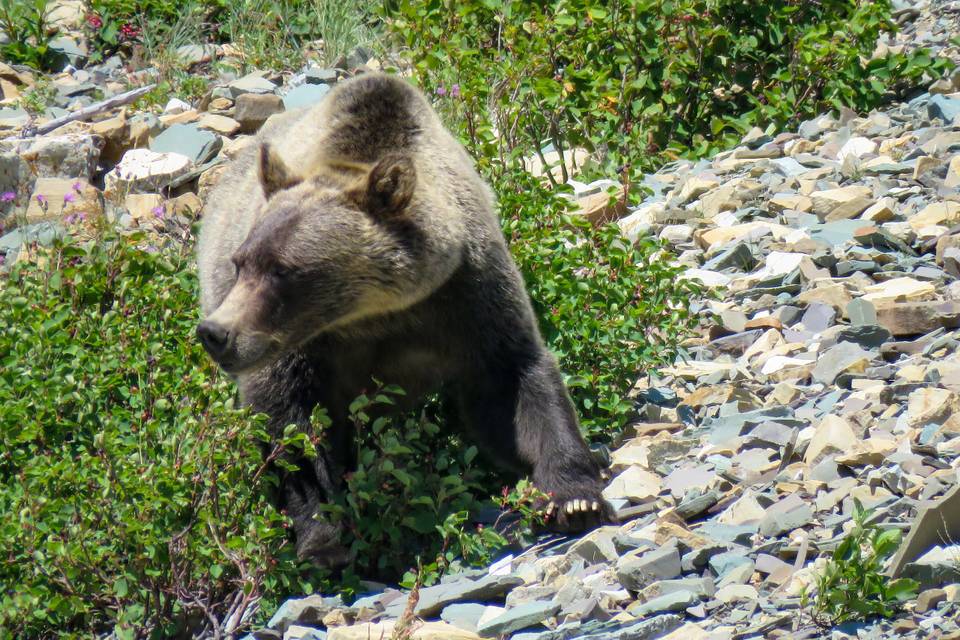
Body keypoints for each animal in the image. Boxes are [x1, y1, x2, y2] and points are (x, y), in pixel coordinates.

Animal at [197, 72, 608, 568]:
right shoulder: (301, 346)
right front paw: (323, 539)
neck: (372, 312)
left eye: (283, 270)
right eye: (243, 263)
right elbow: (291, 426)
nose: (217, 333)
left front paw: (576, 497)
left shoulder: (465, 294)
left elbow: (512, 380)